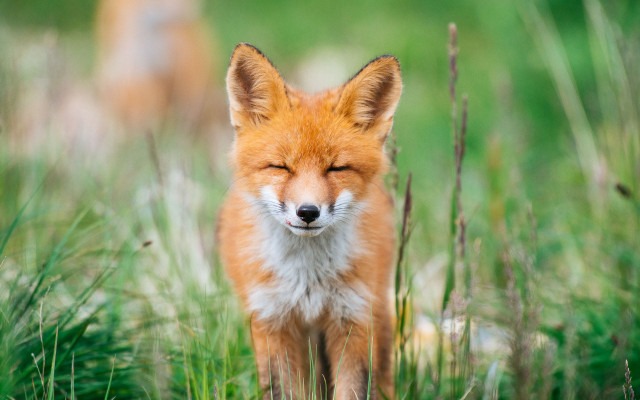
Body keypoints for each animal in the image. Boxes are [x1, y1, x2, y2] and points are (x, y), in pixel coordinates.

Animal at [218, 43, 402, 399]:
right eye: (280, 167)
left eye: (336, 168)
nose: (307, 212)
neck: (307, 277)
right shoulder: (273, 322)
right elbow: (285, 389)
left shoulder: (354, 319)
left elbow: (354, 388)